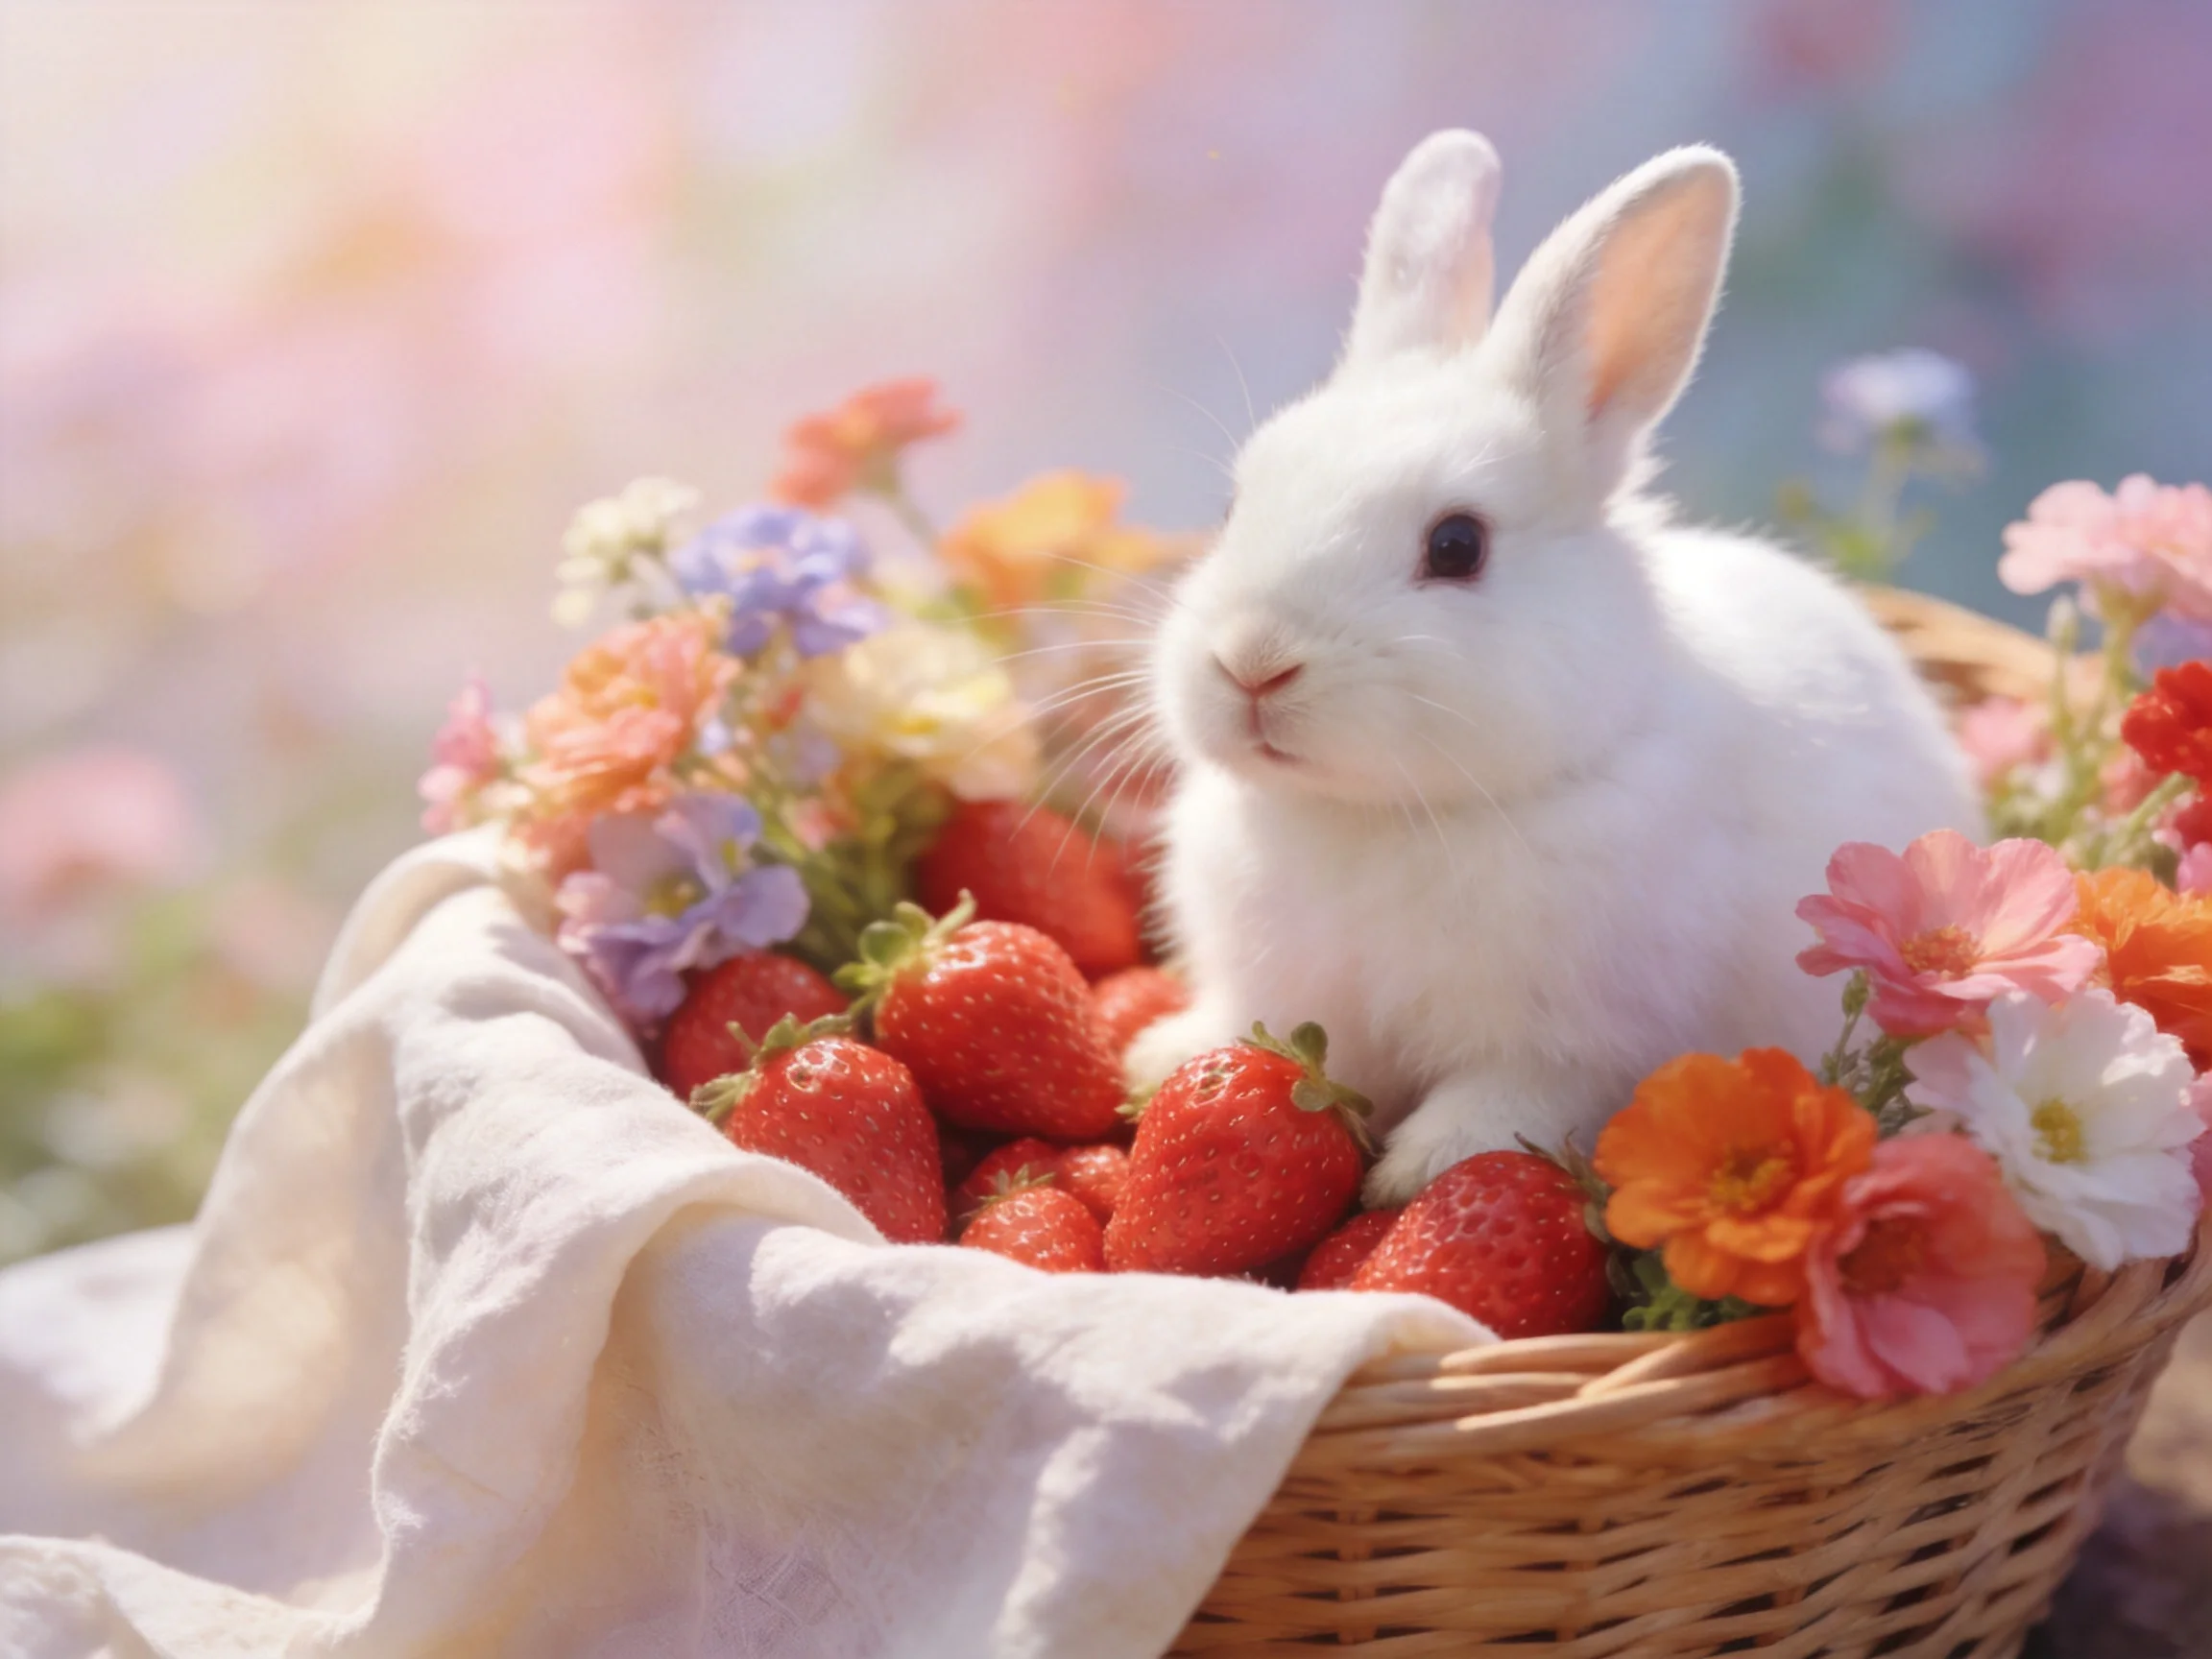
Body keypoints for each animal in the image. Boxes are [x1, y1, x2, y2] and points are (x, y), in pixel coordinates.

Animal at [1128, 131, 1982, 1206]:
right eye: (1235, 504)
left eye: (1457, 545)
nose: (1253, 664)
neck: (1383, 816)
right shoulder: (1287, 989)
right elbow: (1264, 1045)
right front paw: (1157, 1064)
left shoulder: (1569, 1044)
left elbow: (1503, 1106)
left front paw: (1418, 1178)